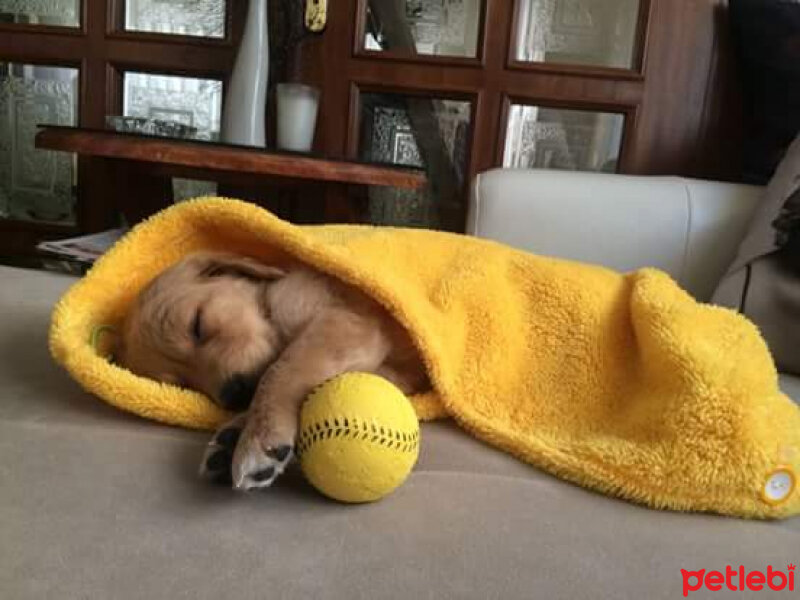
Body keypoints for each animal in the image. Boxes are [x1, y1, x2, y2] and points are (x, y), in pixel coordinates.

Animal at [116, 251, 428, 490]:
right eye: (184, 385)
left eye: (198, 325)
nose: (234, 394)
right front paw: (234, 434)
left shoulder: (348, 322)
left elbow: (280, 371)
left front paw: (258, 435)